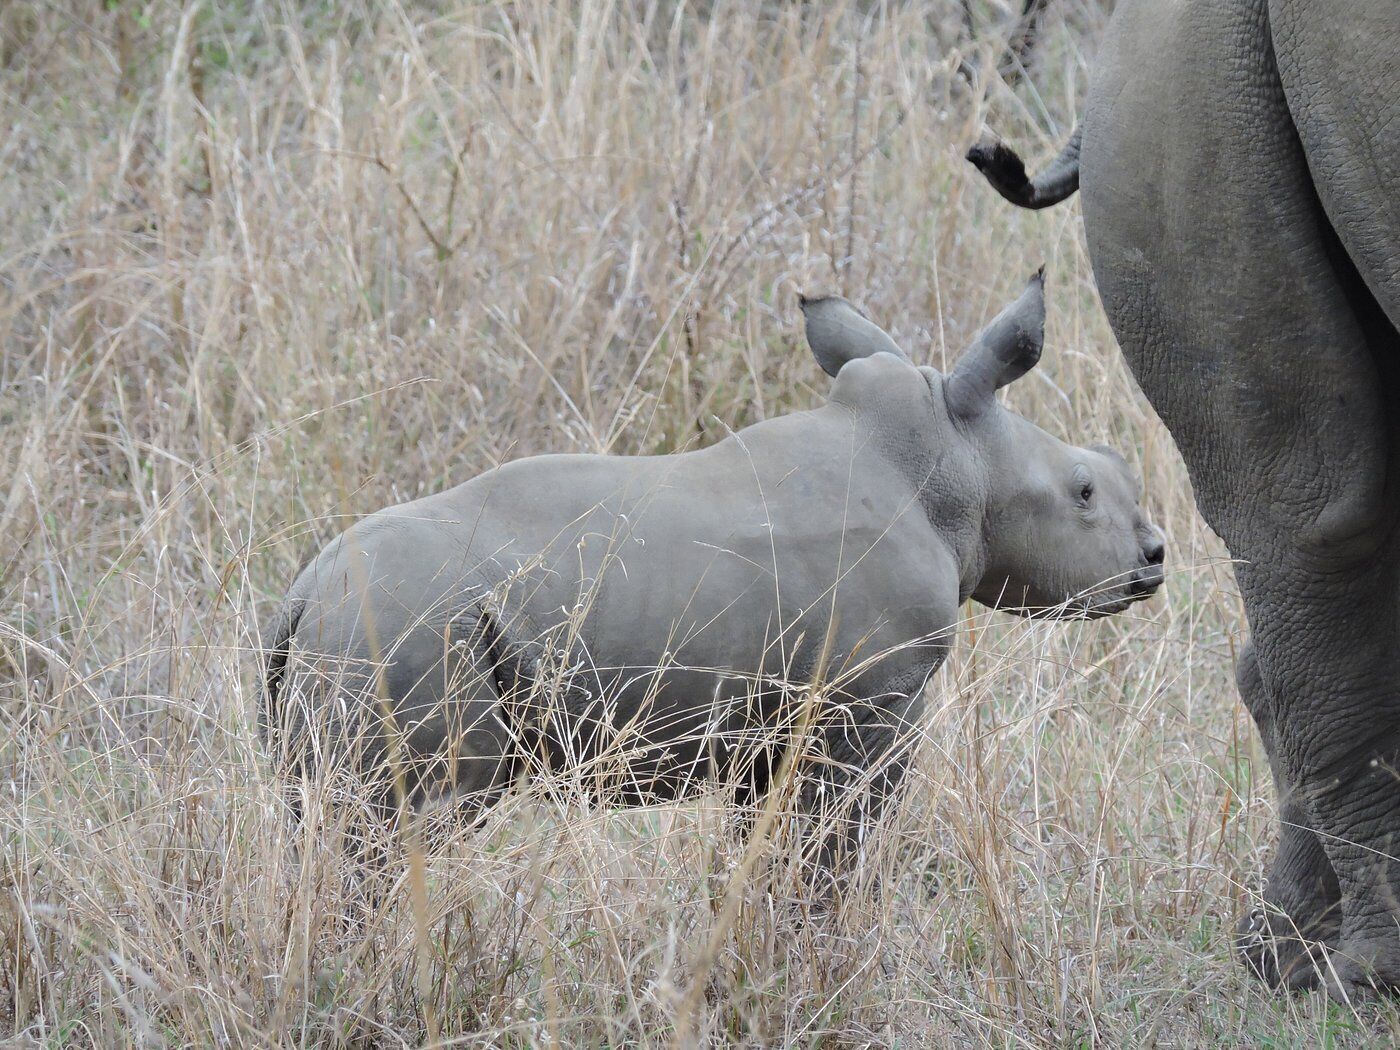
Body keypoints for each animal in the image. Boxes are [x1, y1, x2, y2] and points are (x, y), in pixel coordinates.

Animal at [262, 274, 1165, 886]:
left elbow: (765, 852)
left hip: (355, 631)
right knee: (396, 834)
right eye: (1085, 492)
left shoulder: (777, 728)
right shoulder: (873, 701)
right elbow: (833, 853)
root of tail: (305, 592)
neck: (952, 459)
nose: (1154, 557)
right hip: (404, 628)